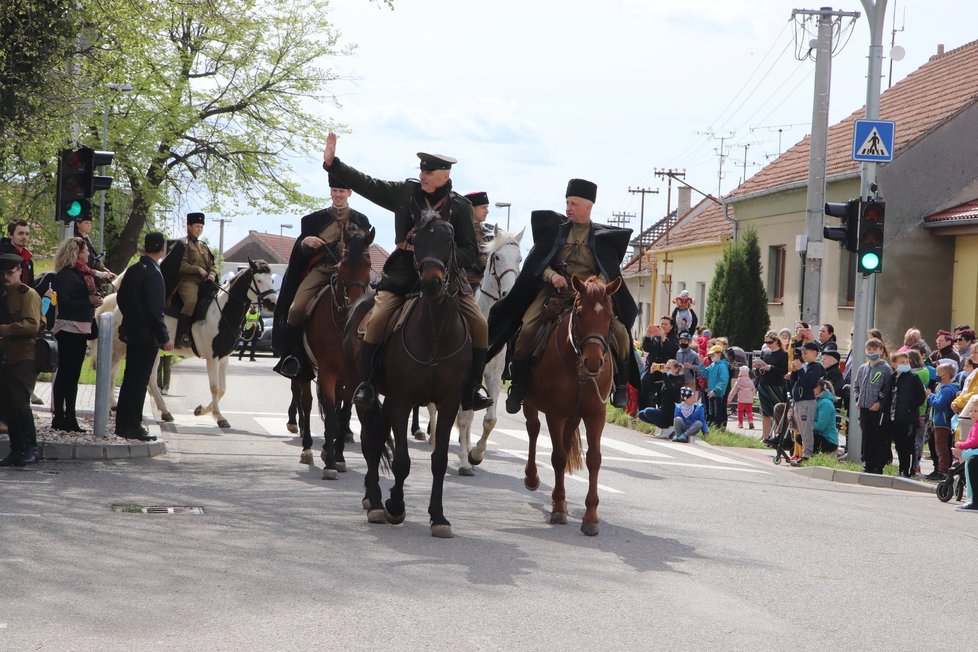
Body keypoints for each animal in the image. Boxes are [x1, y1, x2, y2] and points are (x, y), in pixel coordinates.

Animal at [292, 230, 372, 478]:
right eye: (343, 263)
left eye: (368, 264)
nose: (355, 303)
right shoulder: (327, 372)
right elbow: (330, 413)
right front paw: (329, 465)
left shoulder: (352, 377)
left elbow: (342, 415)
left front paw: (338, 457)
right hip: (306, 371)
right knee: (307, 403)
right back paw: (307, 449)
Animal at [348, 211, 470, 536]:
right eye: (416, 240)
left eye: (450, 240)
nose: (432, 282)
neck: (435, 330)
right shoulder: (403, 401)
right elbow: (402, 460)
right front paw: (395, 506)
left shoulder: (449, 403)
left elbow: (439, 460)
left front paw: (438, 517)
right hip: (361, 390)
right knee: (370, 439)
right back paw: (375, 502)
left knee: (377, 437)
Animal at [520, 274, 616, 536]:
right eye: (580, 313)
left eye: (610, 316)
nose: (594, 361)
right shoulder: (555, 414)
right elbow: (558, 458)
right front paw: (559, 508)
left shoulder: (595, 415)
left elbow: (594, 459)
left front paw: (591, 517)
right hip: (530, 402)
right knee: (533, 430)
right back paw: (532, 478)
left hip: (575, 417)